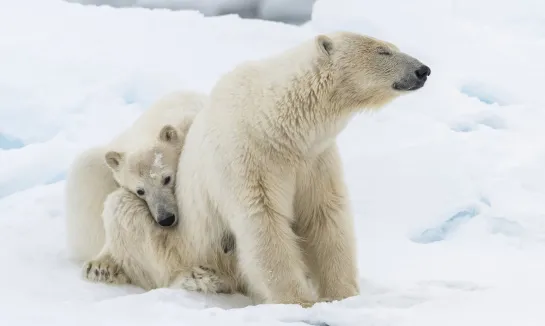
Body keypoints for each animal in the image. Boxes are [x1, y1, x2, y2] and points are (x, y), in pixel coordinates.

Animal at [176, 30, 432, 306]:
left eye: (393, 46)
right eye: (383, 51)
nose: (423, 70)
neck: (273, 124)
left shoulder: (315, 160)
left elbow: (324, 215)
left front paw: (342, 294)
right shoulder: (249, 159)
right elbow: (264, 220)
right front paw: (298, 300)